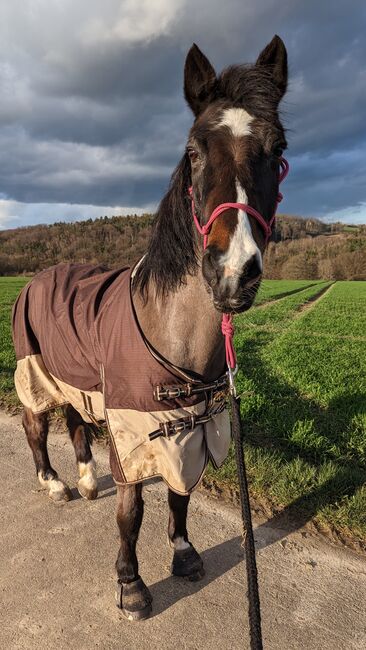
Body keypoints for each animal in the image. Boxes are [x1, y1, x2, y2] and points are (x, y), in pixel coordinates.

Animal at [11, 34, 288, 616]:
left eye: (278, 150)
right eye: (194, 150)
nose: (234, 271)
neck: (173, 333)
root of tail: (38, 275)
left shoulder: (196, 425)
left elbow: (182, 495)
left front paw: (183, 554)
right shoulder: (133, 428)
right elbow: (132, 512)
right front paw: (131, 584)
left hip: (77, 380)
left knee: (74, 423)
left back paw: (86, 480)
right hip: (35, 374)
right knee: (35, 428)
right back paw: (54, 484)